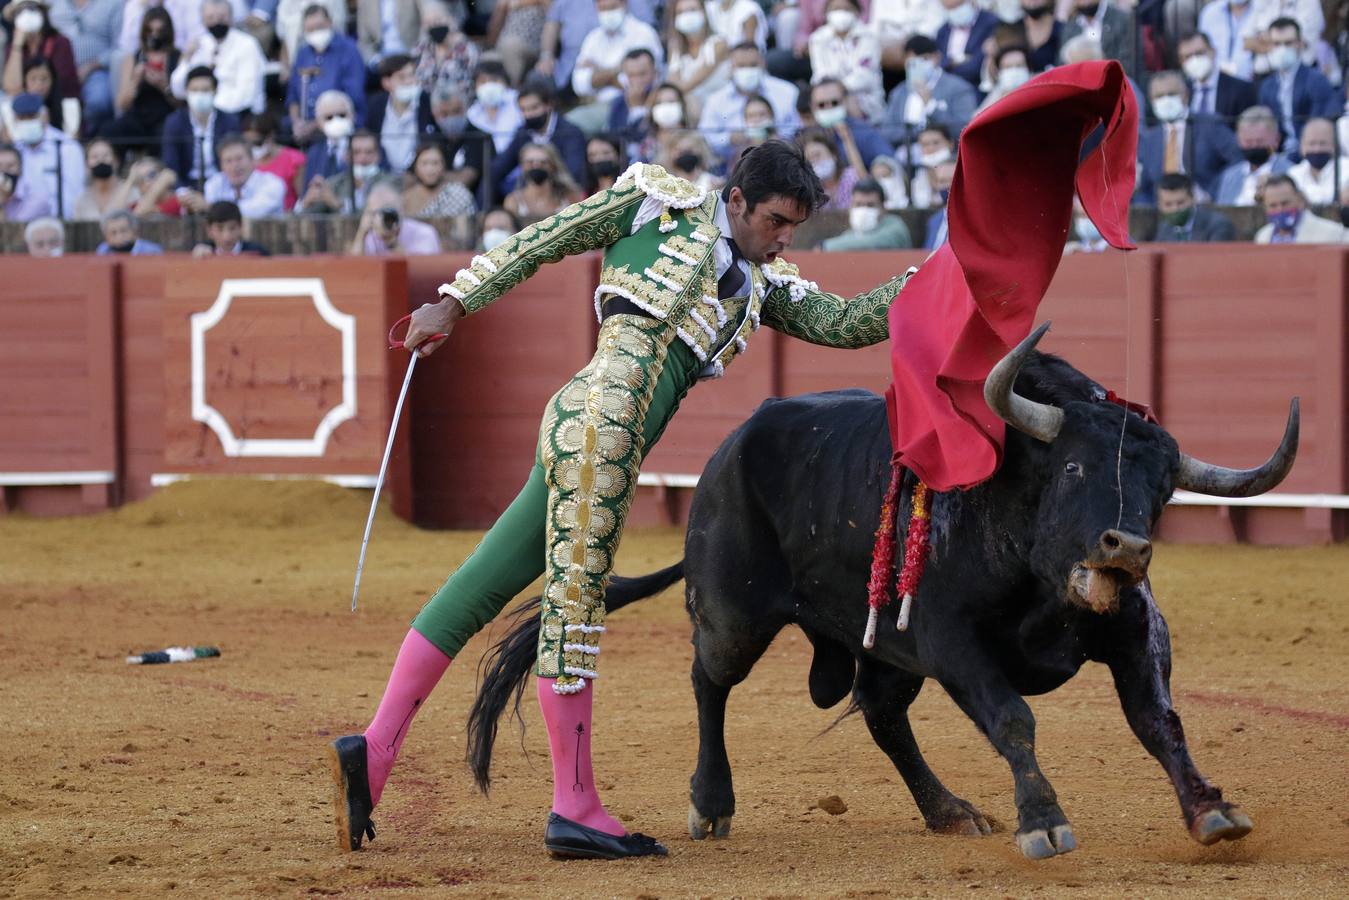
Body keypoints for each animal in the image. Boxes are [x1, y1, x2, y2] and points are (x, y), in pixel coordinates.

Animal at [466, 327, 1295, 863]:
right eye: (1073, 469)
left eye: (1160, 490)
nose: (1124, 548)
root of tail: (733, 444)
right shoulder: (952, 640)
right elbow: (1013, 719)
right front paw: (1043, 820)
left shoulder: (1130, 629)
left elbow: (1158, 721)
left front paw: (1211, 810)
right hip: (735, 614)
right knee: (710, 681)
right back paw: (711, 802)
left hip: (883, 649)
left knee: (883, 716)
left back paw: (948, 812)